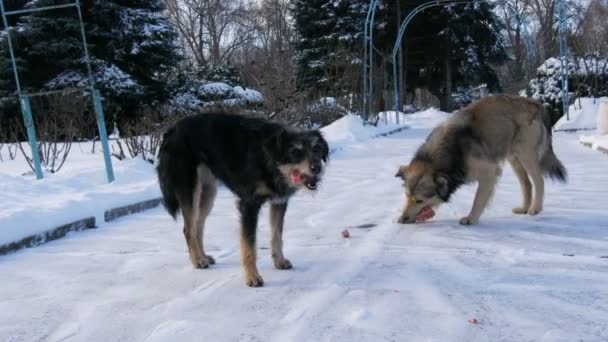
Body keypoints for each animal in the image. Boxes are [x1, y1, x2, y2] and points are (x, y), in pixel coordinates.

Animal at [157, 113, 328, 288]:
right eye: (295, 151)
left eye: (317, 149)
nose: (317, 168)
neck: (269, 158)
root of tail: (172, 129)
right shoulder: (248, 205)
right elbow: (249, 245)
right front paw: (252, 276)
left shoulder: (279, 202)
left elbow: (277, 236)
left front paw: (279, 261)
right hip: (190, 189)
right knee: (188, 229)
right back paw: (197, 260)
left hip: (208, 192)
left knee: (198, 225)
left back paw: (203, 256)